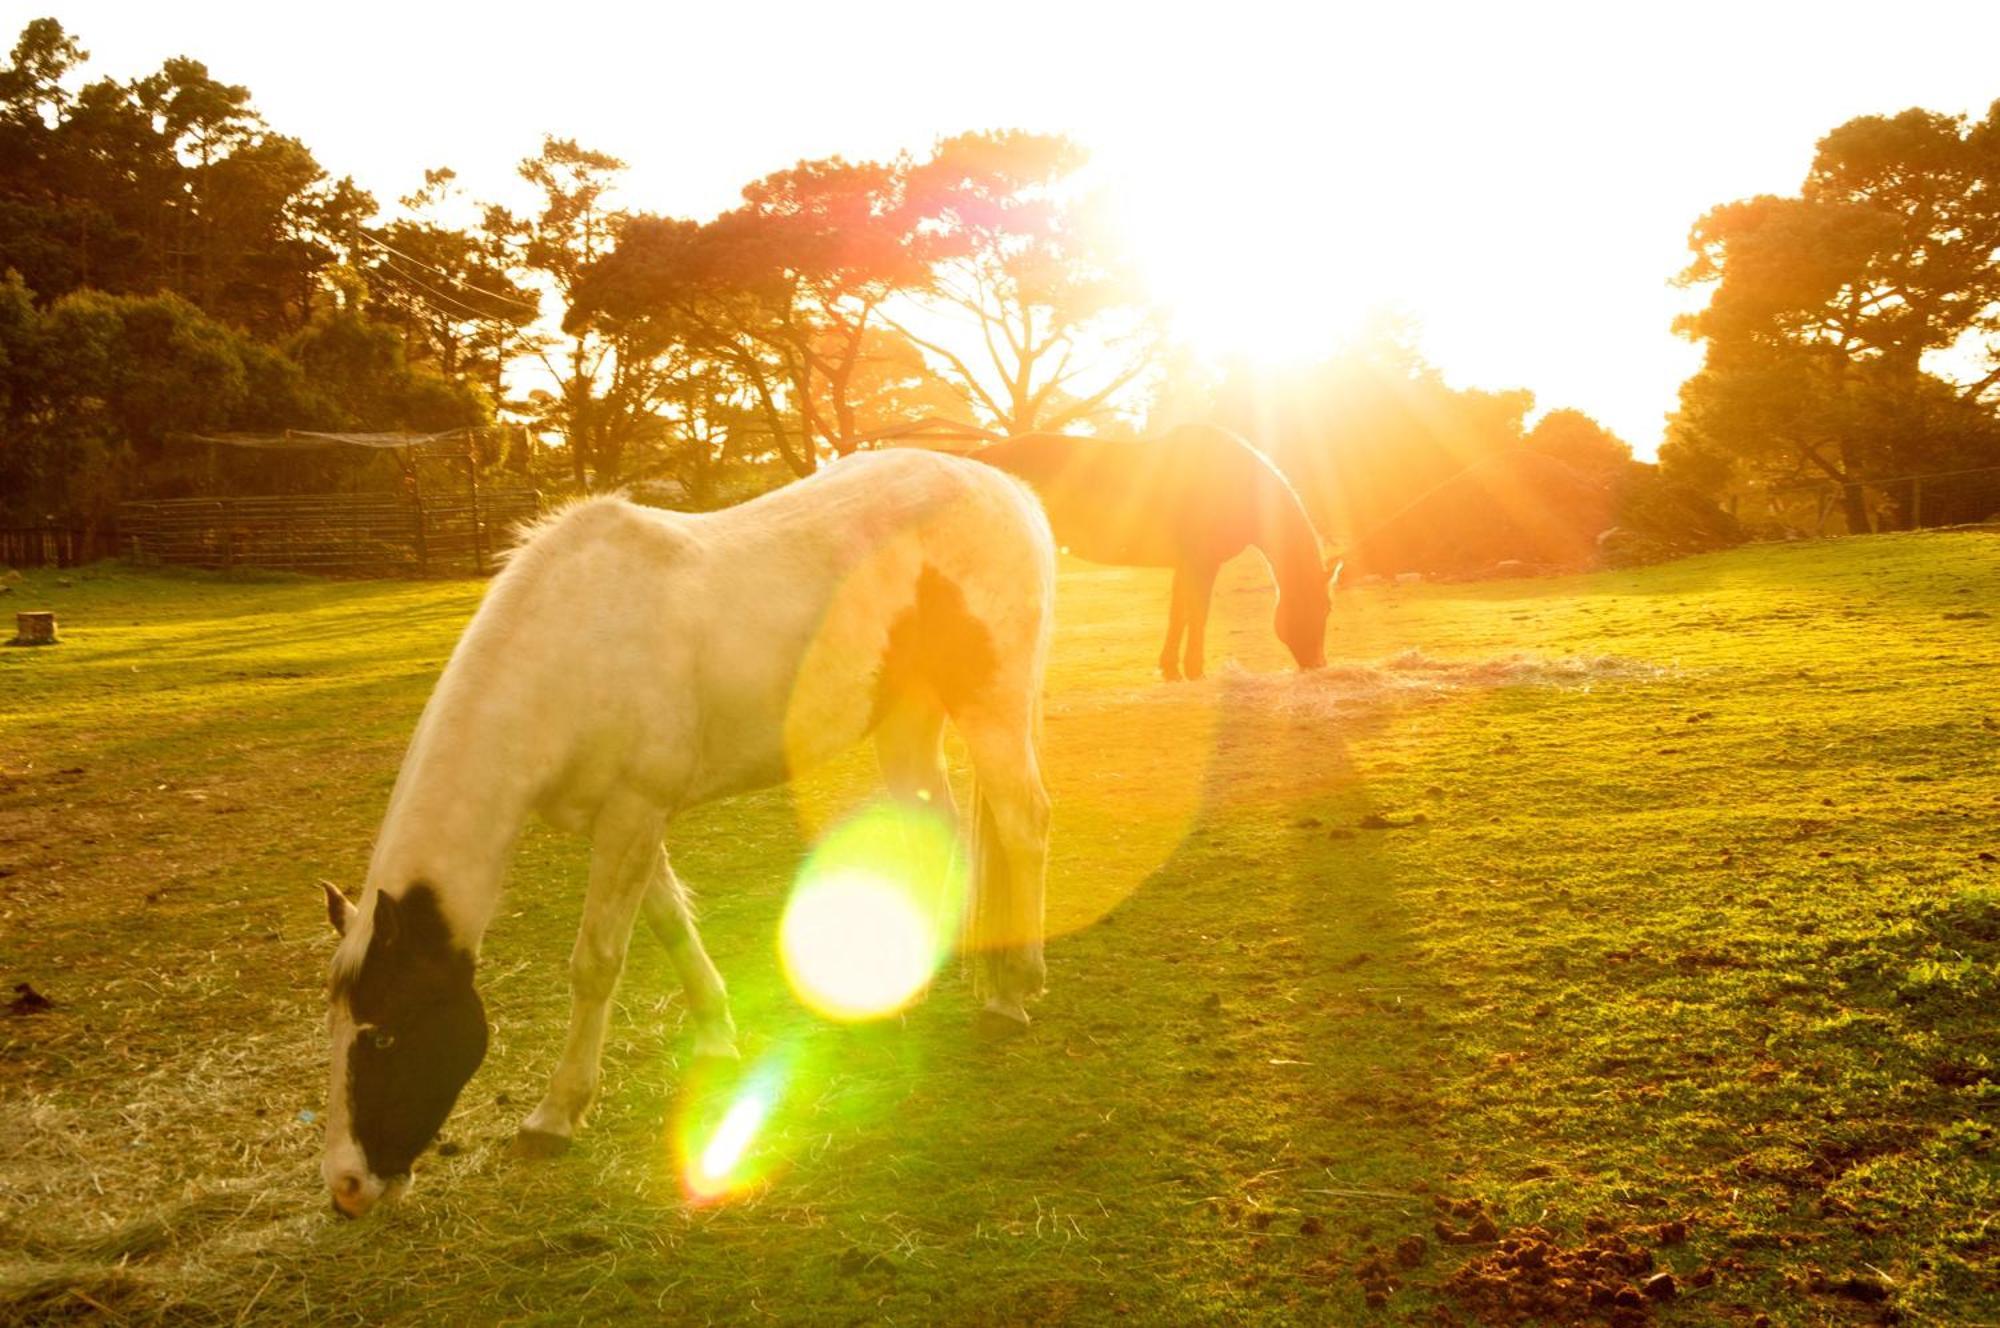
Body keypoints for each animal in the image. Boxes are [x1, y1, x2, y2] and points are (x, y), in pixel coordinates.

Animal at [320, 452, 1056, 1216]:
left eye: (383, 1035)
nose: (346, 1186)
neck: (570, 651)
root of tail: (1006, 489)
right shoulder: (622, 824)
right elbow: (670, 925)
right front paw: (717, 1038)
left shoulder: (632, 815)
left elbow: (596, 964)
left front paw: (555, 1115)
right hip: (906, 716)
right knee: (939, 831)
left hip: (991, 706)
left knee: (1024, 823)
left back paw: (1011, 992)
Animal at [976, 426, 1336, 680]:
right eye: (1324, 607)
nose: (1318, 664)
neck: (1233, 482)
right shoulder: (1202, 564)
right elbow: (1198, 613)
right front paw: (1194, 670)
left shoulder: (1186, 566)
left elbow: (1179, 614)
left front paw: (1171, 669)